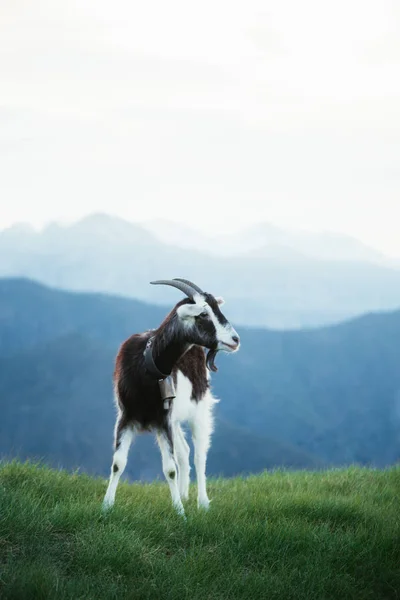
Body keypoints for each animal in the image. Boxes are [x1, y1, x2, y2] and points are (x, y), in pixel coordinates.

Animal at [103, 276, 241, 516]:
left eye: (216, 308)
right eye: (203, 314)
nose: (235, 339)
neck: (147, 365)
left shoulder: (163, 421)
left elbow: (169, 469)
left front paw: (180, 513)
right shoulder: (126, 417)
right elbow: (118, 463)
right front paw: (106, 506)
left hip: (199, 410)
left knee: (199, 455)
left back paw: (202, 503)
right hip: (175, 419)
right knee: (184, 452)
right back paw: (185, 495)